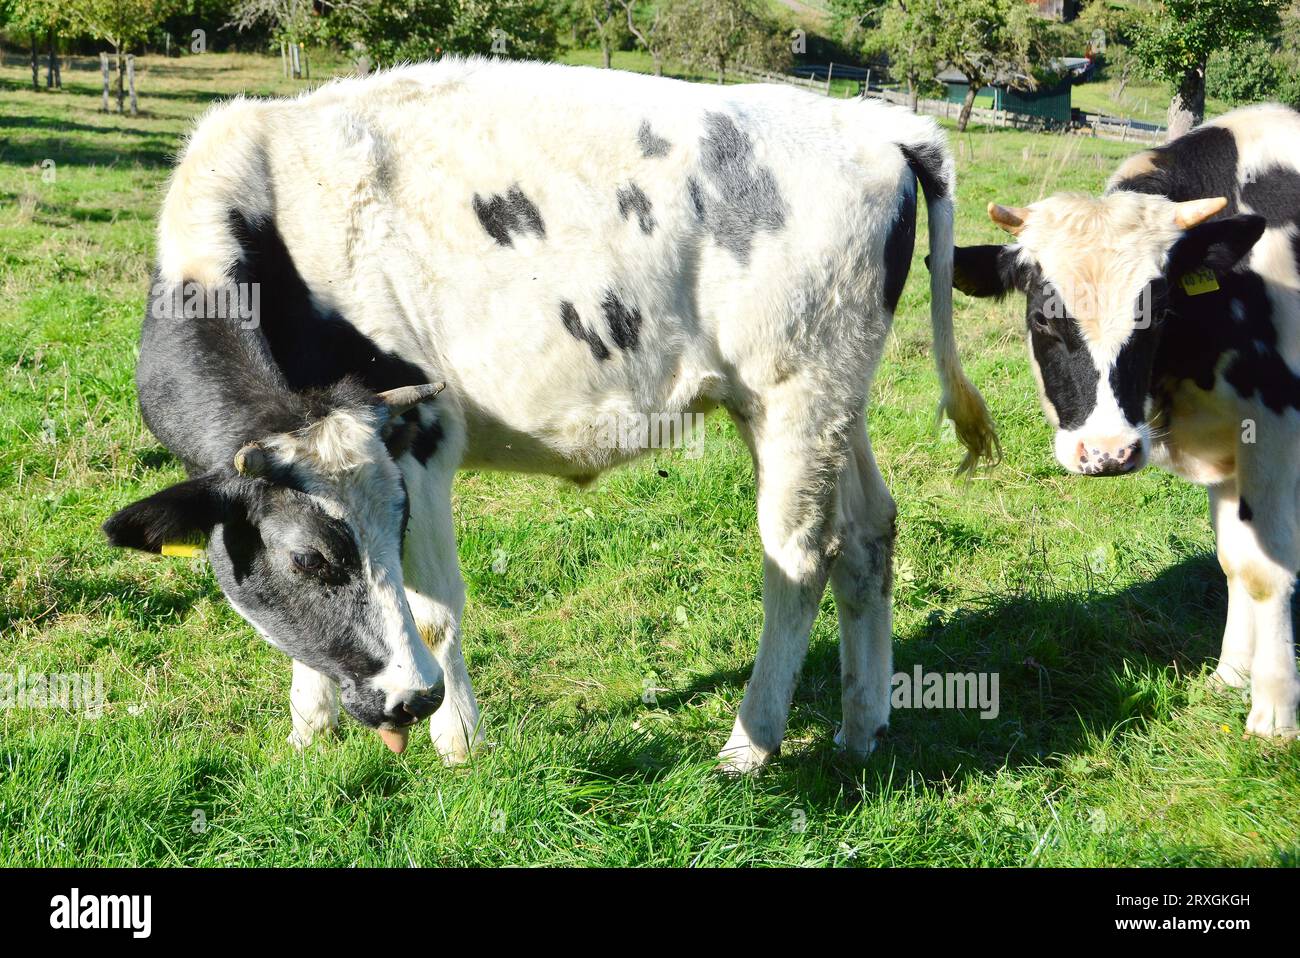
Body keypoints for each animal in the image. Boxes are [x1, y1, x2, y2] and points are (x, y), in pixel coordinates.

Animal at [102, 57, 998, 771]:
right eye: (307, 561)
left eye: (390, 528)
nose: (406, 702)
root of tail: (879, 124)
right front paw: (308, 730)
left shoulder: (420, 443)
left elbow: (435, 614)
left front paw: (458, 743)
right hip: (836, 400)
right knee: (871, 533)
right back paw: (862, 724)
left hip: (795, 395)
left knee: (801, 558)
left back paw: (752, 742)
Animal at [947, 103, 1300, 739]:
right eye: (1042, 318)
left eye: (1156, 312)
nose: (1108, 452)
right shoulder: (1228, 443)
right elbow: (1235, 562)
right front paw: (1231, 675)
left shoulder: (1276, 426)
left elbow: (1268, 568)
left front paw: (1274, 711)